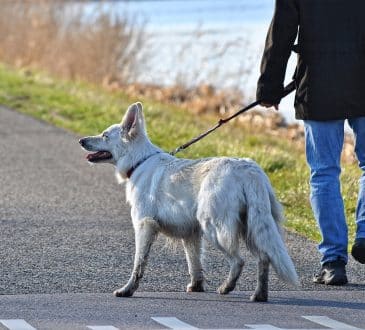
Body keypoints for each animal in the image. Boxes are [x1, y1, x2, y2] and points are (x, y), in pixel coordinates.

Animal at [78, 102, 298, 300]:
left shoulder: (144, 226)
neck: (139, 161)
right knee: (264, 258)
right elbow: (194, 263)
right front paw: (196, 287)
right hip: (251, 227)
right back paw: (259, 295)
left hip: (215, 228)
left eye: (105, 135)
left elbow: (138, 263)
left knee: (239, 261)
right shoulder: (191, 234)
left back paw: (226, 287)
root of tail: (249, 169)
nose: (81, 140)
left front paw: (127, 290)